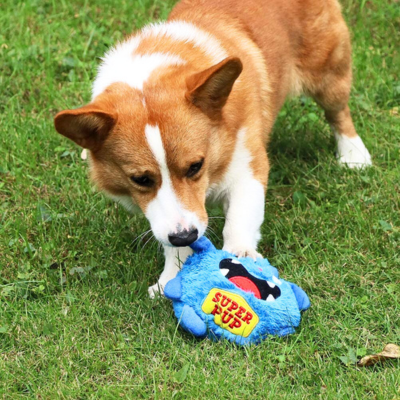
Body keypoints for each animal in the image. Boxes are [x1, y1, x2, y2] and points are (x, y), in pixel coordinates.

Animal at [54, 0, 372, 296]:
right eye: (141, 179)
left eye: (195, 166)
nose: (185, 236)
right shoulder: (174, 220)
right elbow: (175, 243)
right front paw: (170, 278)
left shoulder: (248, 167)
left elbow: (239, 220)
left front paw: (241, 259)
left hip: (327, 74)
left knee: (338, 112)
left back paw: (354, 155)